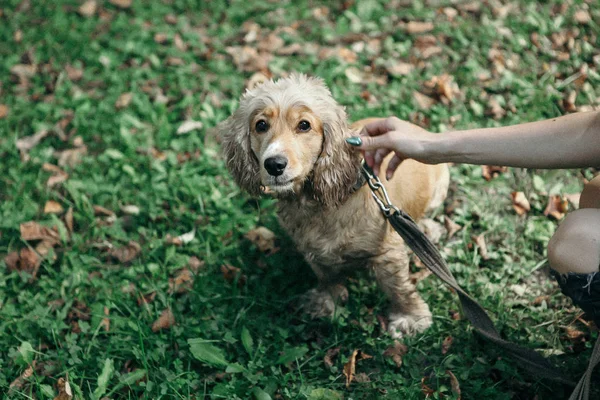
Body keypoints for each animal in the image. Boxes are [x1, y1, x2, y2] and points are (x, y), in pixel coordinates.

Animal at [221, 75, 450, 338]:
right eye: (260, 125)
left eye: (304, 125)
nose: (274, 164)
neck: (316, 205)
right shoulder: (311, 250)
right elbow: (327, 277)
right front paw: (327, 303)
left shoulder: (387, 252)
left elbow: (398, 286)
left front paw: (410, 318)